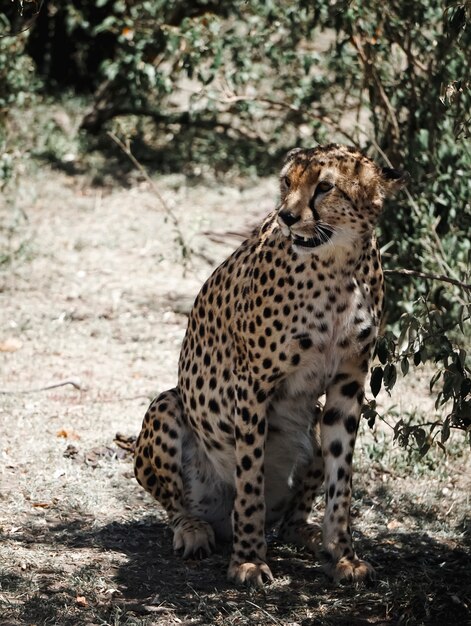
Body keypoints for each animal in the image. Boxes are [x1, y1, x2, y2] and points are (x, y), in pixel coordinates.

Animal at [135, 144, 408, 588]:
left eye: (325, 187)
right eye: (287, 181)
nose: (287, 216)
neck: (337, 265)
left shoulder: (348, 383)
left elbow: (342, 480)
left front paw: (344, 555)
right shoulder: (252, 382)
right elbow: (249, 477)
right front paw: (248, 560)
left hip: (314, 419)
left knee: (290, 516)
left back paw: (309, 534)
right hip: (167, 406)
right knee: (177, 505)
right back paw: (195, 530)